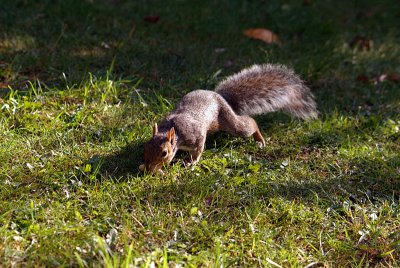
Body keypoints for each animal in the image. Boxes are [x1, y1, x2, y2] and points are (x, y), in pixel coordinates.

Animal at [139, 65, 318, 174]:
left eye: (164, 153)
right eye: (145, 147)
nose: (149, 169)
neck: (174, 130)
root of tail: (220, 97)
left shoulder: (195, 136)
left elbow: (198, 148)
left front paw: (192, 163)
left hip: (231, 122)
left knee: (250, 124)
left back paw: (260, 140)